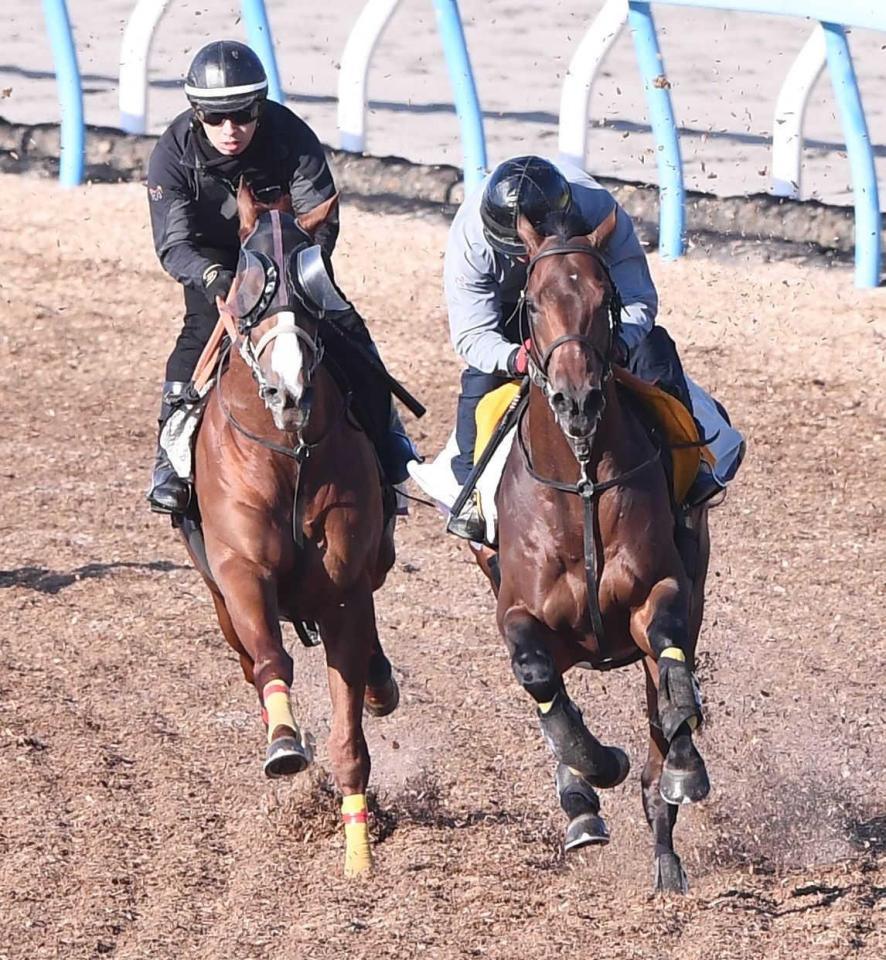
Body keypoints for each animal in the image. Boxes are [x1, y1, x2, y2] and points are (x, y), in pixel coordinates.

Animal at [187, 182, 402, 876]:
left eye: (314, 280)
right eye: (250, 275)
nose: (288, 391)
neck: (289, 454)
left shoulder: (344, 590)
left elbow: (350, 731)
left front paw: (359, 856)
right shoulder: (241, 572)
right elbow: (271, 657)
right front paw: (284, 742)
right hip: (220, 600)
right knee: (251, 658)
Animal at [486, 208, 716, 892]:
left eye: (602, 296)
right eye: (533, 303)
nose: (577, 399)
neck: (582, 481)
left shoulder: (661, 591)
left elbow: (669, 658)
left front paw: (683, 767)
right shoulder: (519, 612)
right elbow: (539, 679)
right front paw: (594, 767)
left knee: (665, 702)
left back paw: (665, 848)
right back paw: (582, 805)